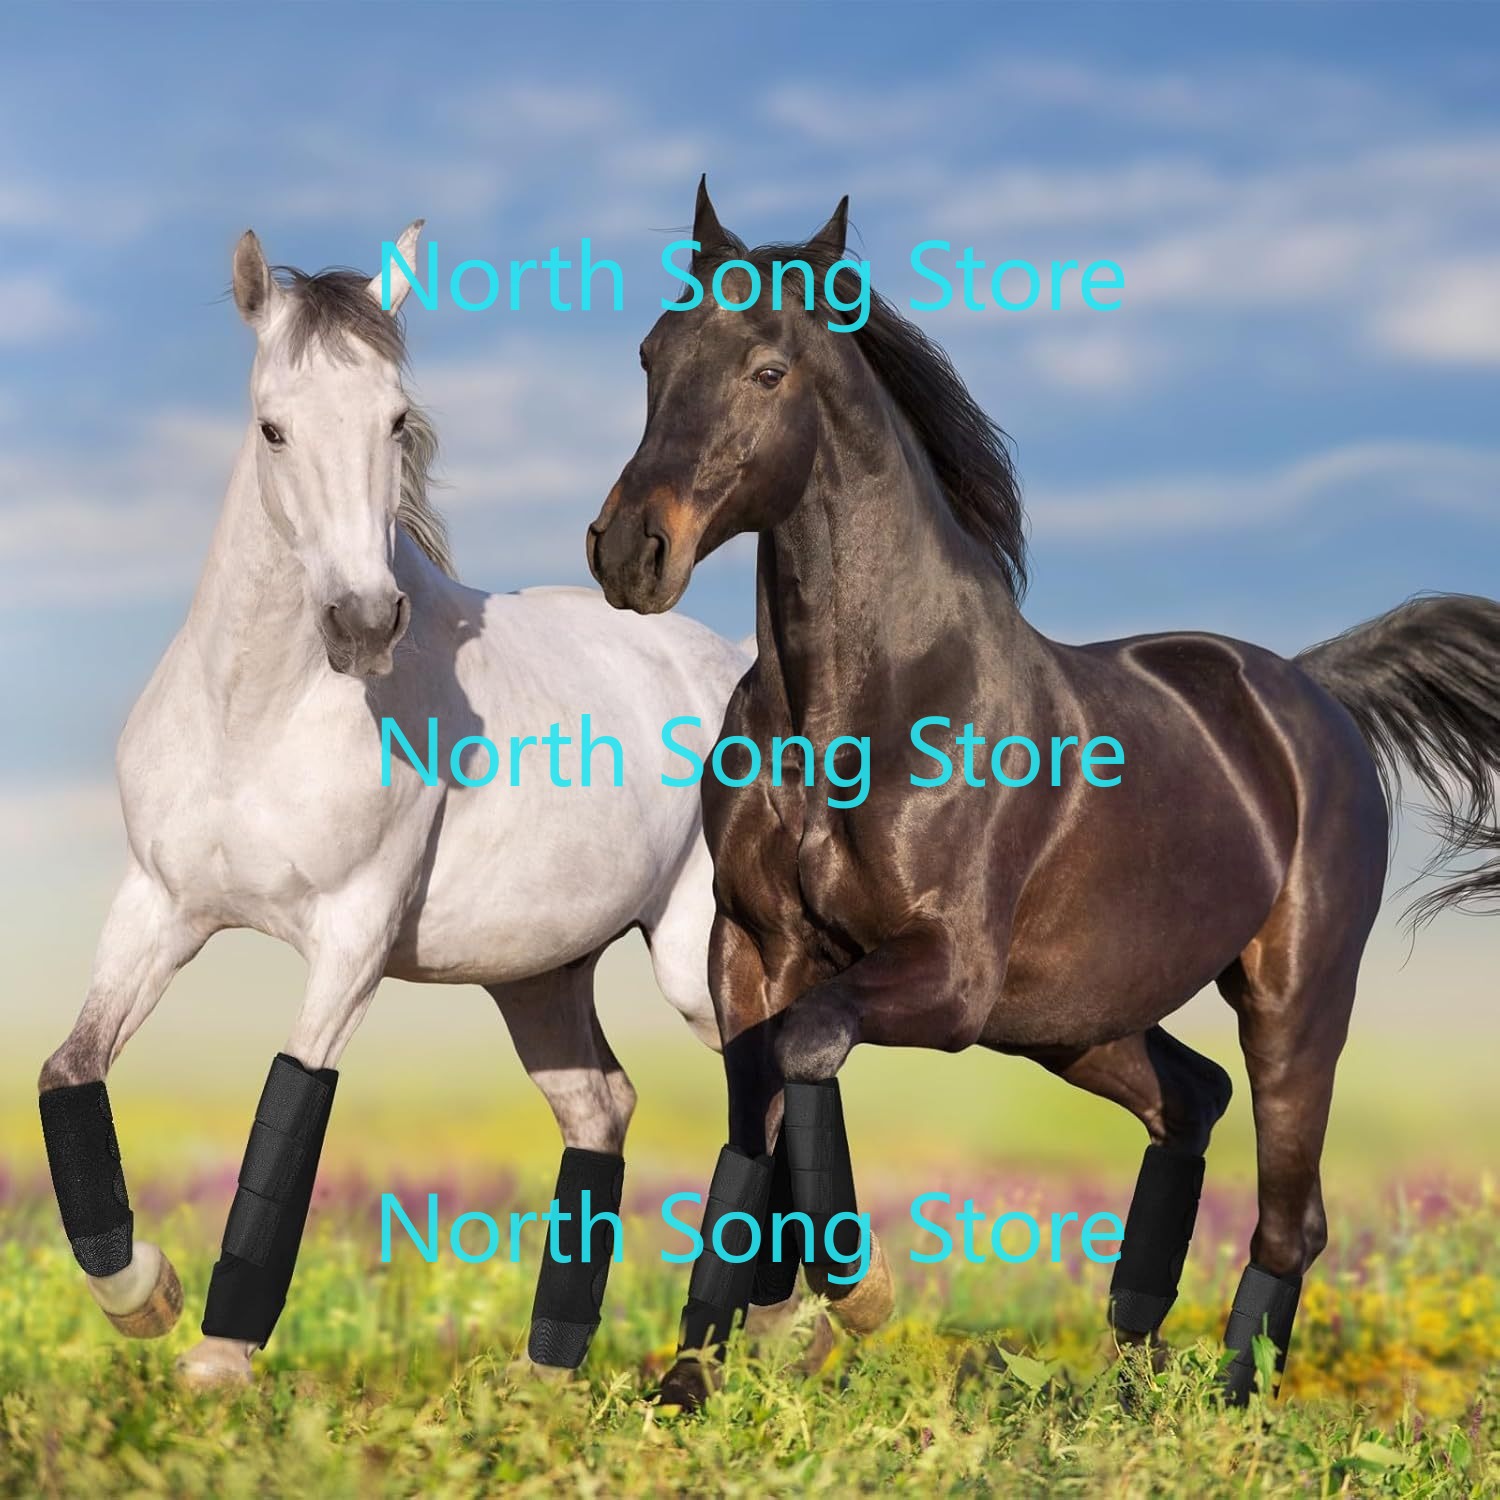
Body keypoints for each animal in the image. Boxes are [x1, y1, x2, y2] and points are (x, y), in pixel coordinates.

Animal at [36, 222, 749, 1389]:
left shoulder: (352, 936)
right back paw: (549, 1375)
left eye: (396, 420)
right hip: (538, 978)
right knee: (604, 1107)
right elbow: (70, 1070)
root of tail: (734, 660)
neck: (257, 719)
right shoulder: (160, 908)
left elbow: (290, 1098)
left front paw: (218, 1357)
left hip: (698, 959)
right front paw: (145, 1294)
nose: (364, 622)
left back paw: (780, 1330)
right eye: (273, 426)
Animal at [586, 180, 1500, 1410]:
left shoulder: (947, 974)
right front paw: (699, 1377)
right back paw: (1129, 1381)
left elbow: (810, 1048)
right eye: (652, 354)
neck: (861, 706)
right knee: (1189, 1101)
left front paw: (848, 1298)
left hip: (1292, 997)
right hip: (1070, 1020)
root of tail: (1313, 691)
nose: (629, 551)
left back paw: (1226, 1407)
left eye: (768, 369)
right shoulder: (755, 950)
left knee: (1290, 1216)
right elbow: (751, 1125)